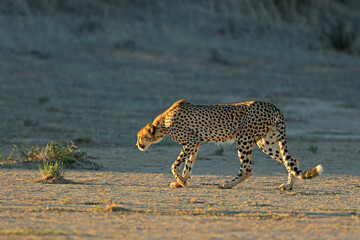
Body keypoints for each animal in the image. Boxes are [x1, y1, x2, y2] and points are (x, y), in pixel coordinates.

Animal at [137, 99, 324, 189]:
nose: (138, 145)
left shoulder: (193, 141)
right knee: (291, 160)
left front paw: (181, 181)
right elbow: (188, 165)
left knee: (247, 169)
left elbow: (175, 164)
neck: (163, 123)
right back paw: (289, 186)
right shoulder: (197, 143)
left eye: (140, 137)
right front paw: (182, 181)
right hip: (266, 143)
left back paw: (227, 184)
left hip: (244, 137)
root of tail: (272, 106)